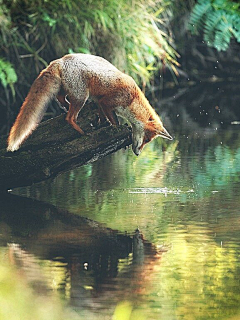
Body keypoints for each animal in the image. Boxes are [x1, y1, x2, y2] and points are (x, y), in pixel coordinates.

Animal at [7, 53, 172, 155]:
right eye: (147, 139)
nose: (137, 154)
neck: (132, 99)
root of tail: (60, 59)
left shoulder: (99, 101)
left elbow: (102, 116)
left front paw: (101, 123)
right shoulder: (107, 102)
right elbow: (115, 121)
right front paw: (114, 128)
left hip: (68, 91)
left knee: (60, 99)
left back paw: (66, 108)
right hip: (82, 96)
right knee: (70, 118)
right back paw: (82, 133)